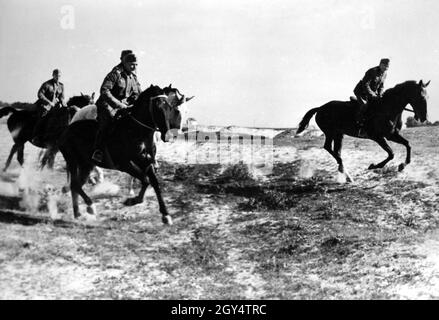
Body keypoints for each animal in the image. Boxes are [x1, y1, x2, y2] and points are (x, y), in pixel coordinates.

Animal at [58, 85, 186, 225]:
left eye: (169, 107)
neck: (135, 131)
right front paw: (132, 200)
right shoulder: (125, 164)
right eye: (157, 106)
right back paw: (89, 207)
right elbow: (145, 179)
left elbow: (154, 183)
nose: (169, 135)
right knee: (75, 184)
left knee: (76, 185)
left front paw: (165, 214)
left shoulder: (146, 162)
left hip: (86, 164)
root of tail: (66, 130)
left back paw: (77, 213)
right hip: (72, 160)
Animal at [298, 79, 432, 182]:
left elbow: (407, 144)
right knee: (328, 147)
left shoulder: (391, 135)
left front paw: (402, 166)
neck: (387, 109)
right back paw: (346, 173)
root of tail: (320, 108)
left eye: (428, 97)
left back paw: (345, 174)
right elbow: (391, 154)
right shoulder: (378, 137)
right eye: (420, 96)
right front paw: (374, 166)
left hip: (339, 134)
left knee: (336, 151)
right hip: (330, 133)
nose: (423, 118)